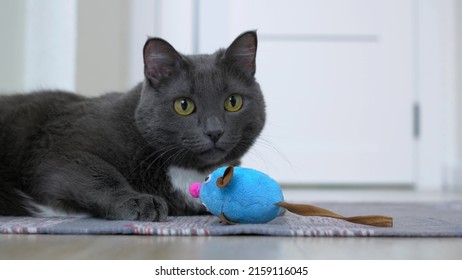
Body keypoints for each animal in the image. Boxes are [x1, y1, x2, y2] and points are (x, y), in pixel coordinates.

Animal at [0, 30, 266, 219]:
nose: (214, 131)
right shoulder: (57, 147)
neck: (187, 172)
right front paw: (138, 201)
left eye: (233, 102)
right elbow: (98, 172)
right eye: (183, 105)